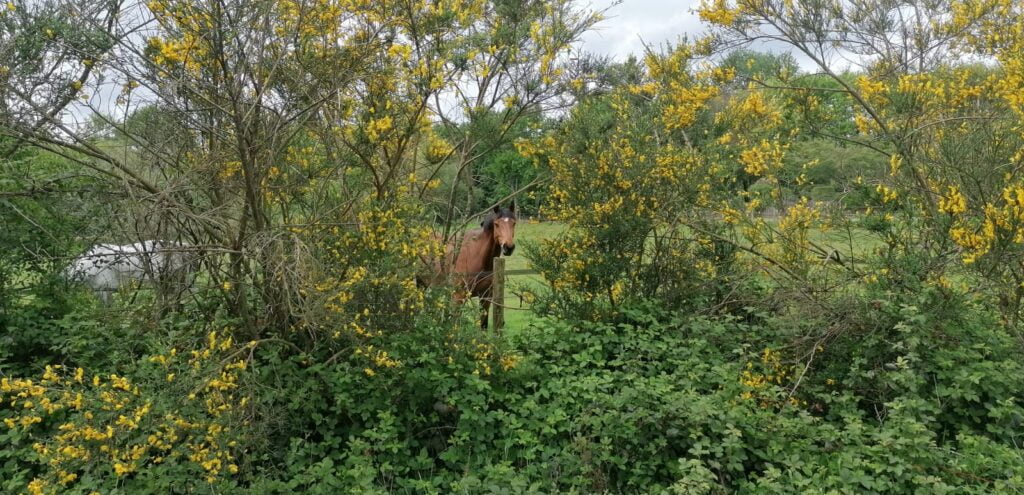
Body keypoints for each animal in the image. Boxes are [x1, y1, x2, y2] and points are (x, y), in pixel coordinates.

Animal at [419, 203, 516, 332]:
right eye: (497, 224)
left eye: (514, 223)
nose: (508, 247)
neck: (475, 255)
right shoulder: (457, 297)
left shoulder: (486, 297)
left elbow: (483, 325)